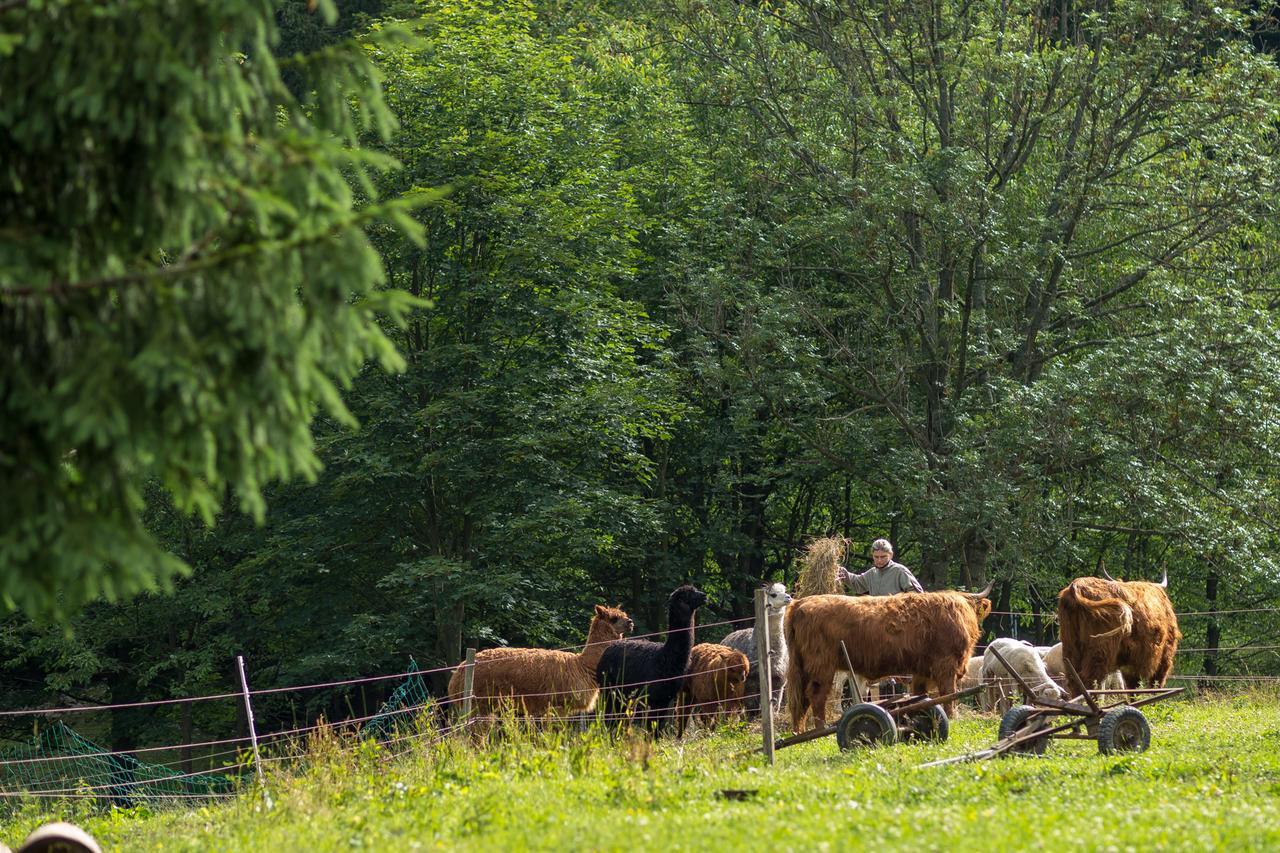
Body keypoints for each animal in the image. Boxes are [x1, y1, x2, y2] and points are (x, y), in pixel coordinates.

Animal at [783, 584, 993, 732]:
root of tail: (800, 603)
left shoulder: (921, 671)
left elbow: (921, 695)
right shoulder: (946, 665)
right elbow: (949, 695)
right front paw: (952, 717)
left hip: (802, 667)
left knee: (800, 700)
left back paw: (798, 731)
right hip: (821, 666)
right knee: (816, 695)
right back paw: (820, 729)